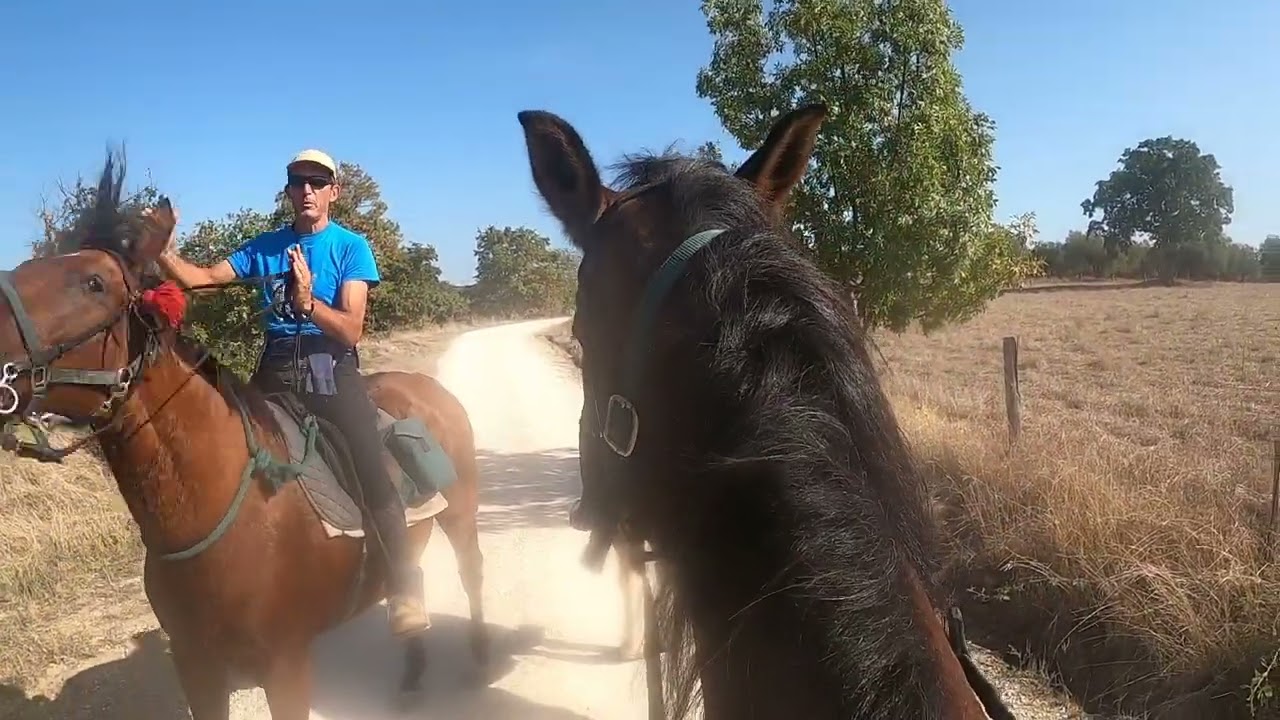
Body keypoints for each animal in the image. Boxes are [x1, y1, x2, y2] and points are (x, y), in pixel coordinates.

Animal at [0, 156, 487, 720]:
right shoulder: (196, 667)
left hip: (461, 513)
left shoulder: (286, 667)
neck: (222, 509)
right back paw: (411, 675)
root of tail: (428, 390)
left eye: (94, 282)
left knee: (471, 572)